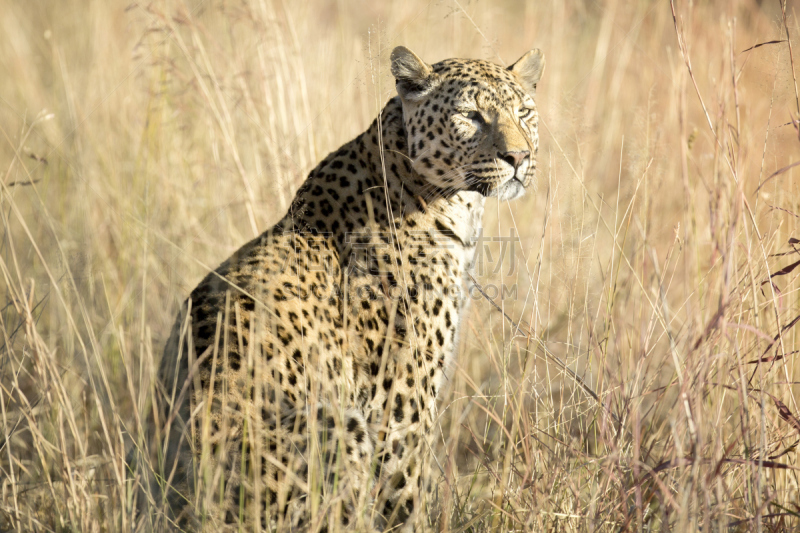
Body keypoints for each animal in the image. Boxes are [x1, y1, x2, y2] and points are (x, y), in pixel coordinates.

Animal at [133, 45, 544, 532]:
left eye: (524, 112)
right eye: (471, 116)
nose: (518, 158)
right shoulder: (400, 403)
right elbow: (406, 496)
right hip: (331, 424)